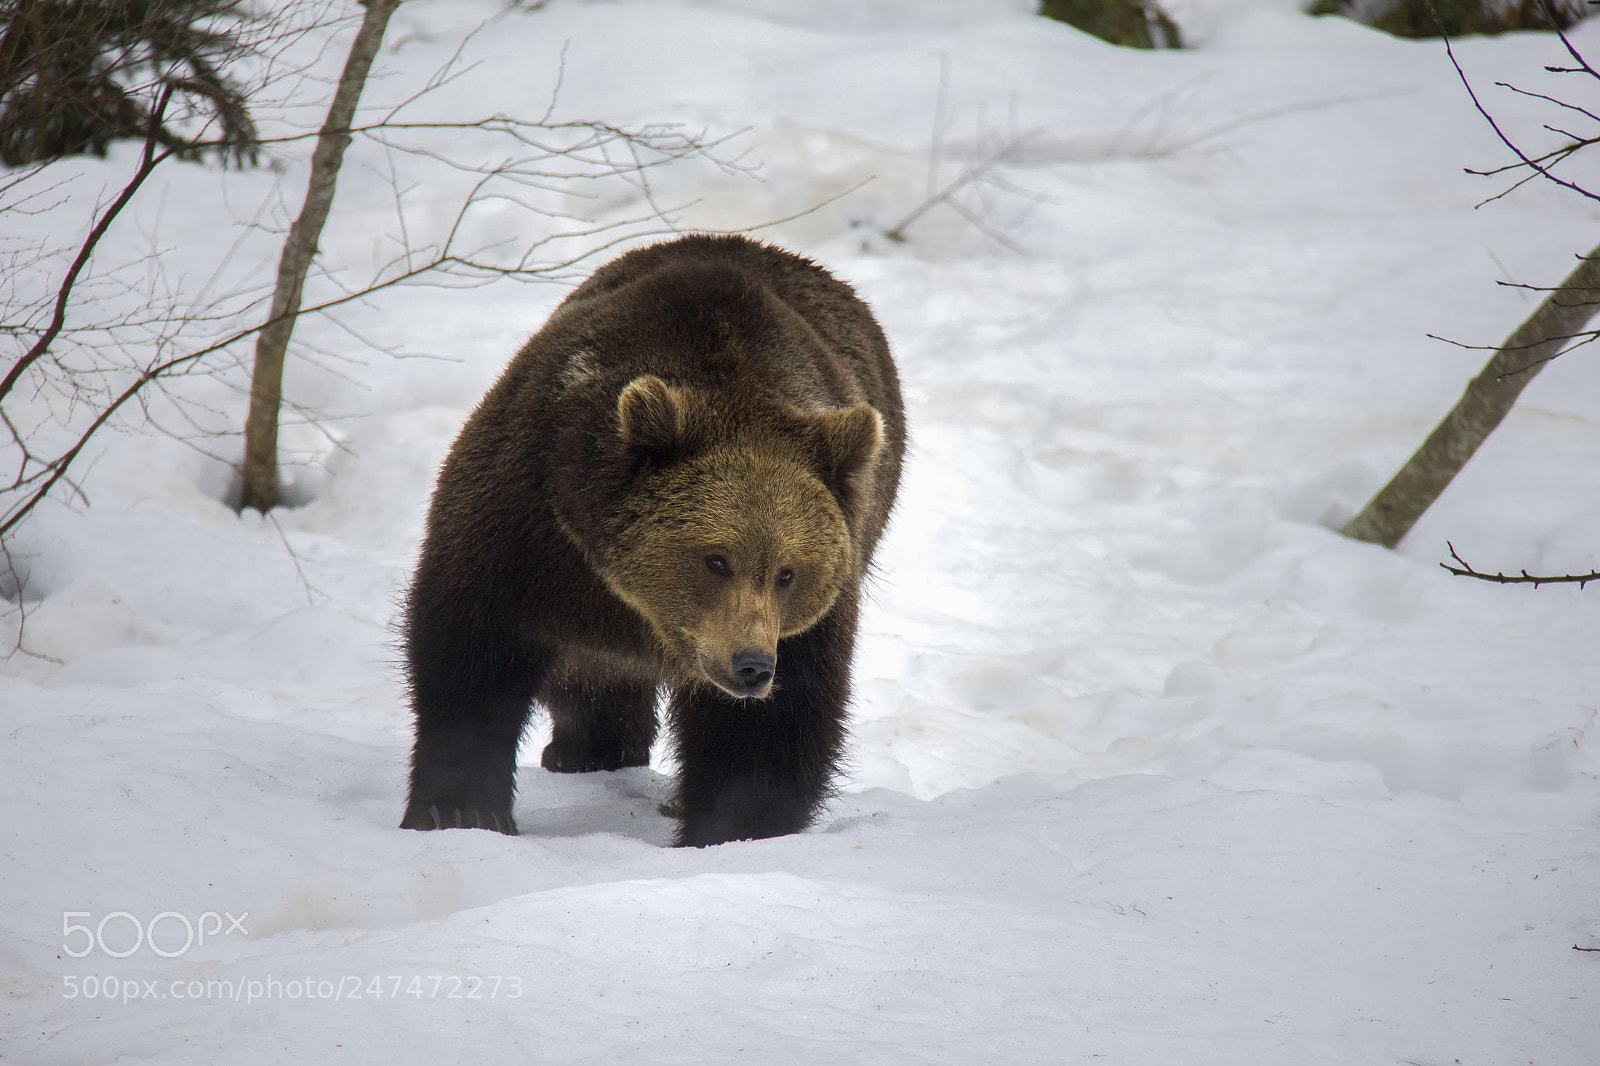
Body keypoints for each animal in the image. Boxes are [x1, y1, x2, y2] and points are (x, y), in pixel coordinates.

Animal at [399, 234, 905, 846]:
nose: (752, 666)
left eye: (788, 571)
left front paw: (732, 828)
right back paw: (585, 749)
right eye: (716, 560)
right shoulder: (529, 516)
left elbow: (772, 728)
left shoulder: (808, 617)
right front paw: (459, 810)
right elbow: (473, 648)